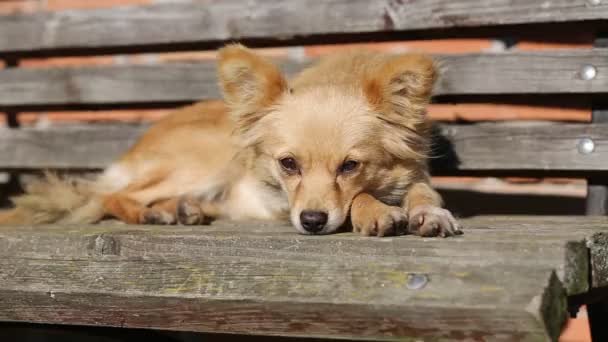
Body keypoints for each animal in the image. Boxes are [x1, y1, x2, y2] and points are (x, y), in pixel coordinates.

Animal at [0, 44, 460, 238]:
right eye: (287, 164)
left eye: (350, 166)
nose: (311, 221)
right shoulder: (281, 202)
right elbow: (358, 201)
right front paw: (376, 211)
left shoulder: (416, 174)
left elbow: (425, 194)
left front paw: (428, 214)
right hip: (210, 157)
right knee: (110, 197)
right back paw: (154, 213)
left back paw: (184, 210)